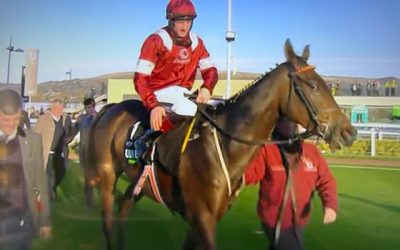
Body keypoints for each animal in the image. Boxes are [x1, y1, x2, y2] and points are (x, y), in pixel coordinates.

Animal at [86, 40, 358, 249]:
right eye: (312, 85)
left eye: (325, 83)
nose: (349, 131)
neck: (225, 147)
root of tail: (110, 108)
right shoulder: (202, 216)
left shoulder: (206, 217)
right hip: (107, 176)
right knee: (108, 219)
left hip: (137, 184)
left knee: (123, 207)